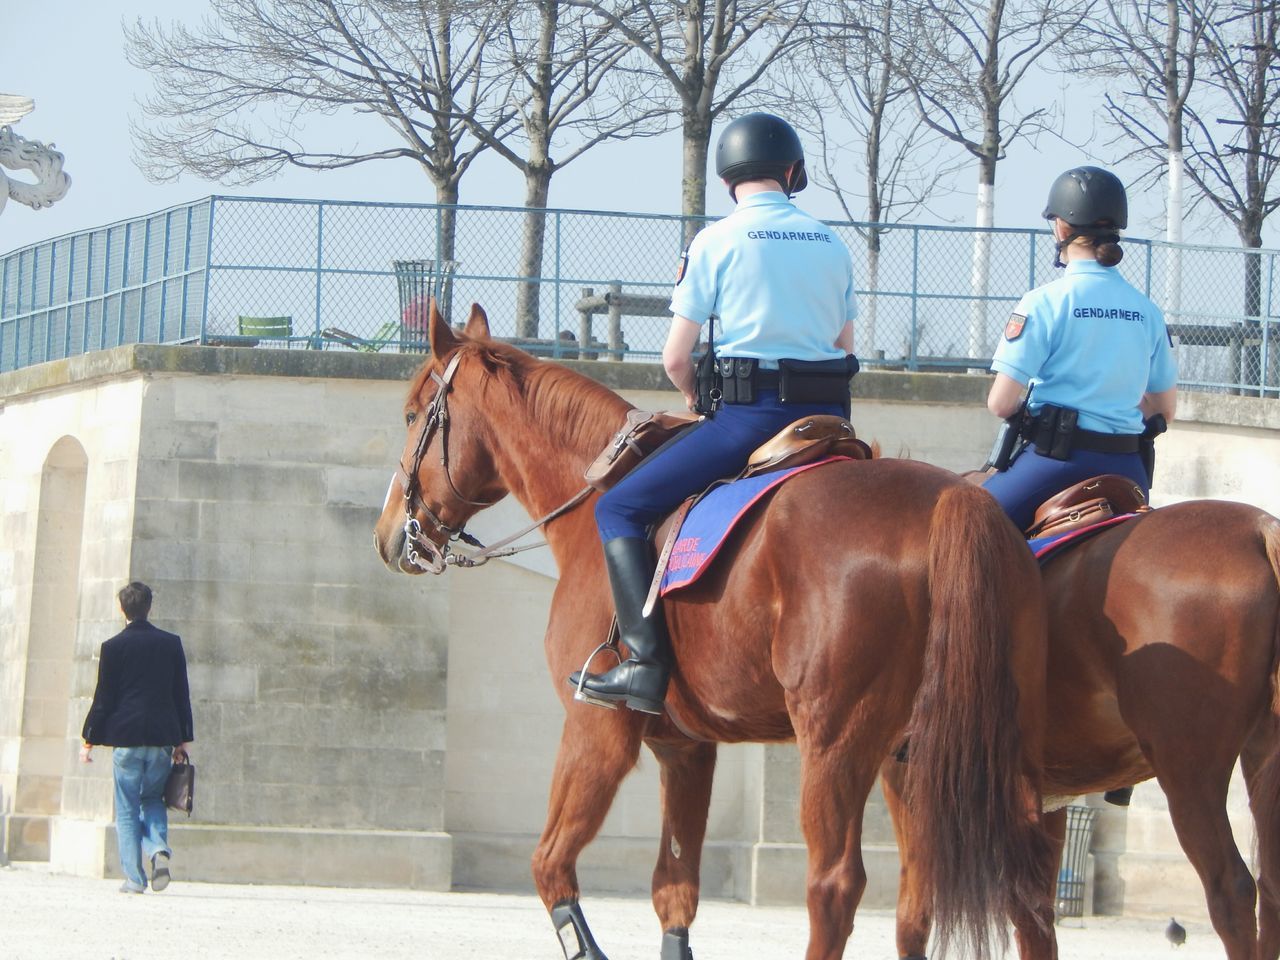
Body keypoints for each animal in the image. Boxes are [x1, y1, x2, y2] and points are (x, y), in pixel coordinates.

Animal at [371, 304, 1049, 960]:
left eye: (411, 414)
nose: (388, 536)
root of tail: (949, 502)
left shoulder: (595, 732)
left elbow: (550, 867)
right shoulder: (685, 748)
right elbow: (674, 890)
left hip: (839, 743)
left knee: (835, 885)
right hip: (944, 754)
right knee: (994, 887)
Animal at [885, 496, 1280, 960]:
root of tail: (1258, 529)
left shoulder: (907, 778)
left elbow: (915, 915)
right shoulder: (1047, 799)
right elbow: (1036, 917)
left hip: (1189, 774)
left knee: (1231, 890)